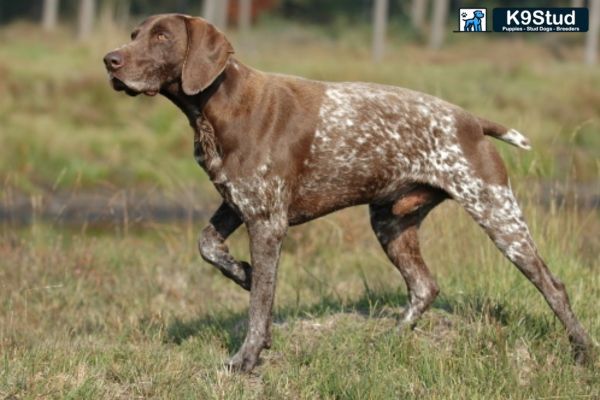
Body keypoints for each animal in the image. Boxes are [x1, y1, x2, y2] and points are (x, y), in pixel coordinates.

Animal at [103, 14, 592, 372]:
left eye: (162, 36)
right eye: (133, 35)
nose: (110, 60)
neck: (218, 105)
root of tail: (471, 120)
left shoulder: (266, 221)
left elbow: (260, 305)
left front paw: (247, 356)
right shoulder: (237, 202)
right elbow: (209, 246)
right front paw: (242, 273)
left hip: (498, 215)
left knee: (553, 286)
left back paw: (582, 350)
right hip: (390, 222)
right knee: (424, 287)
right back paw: (391, 339)